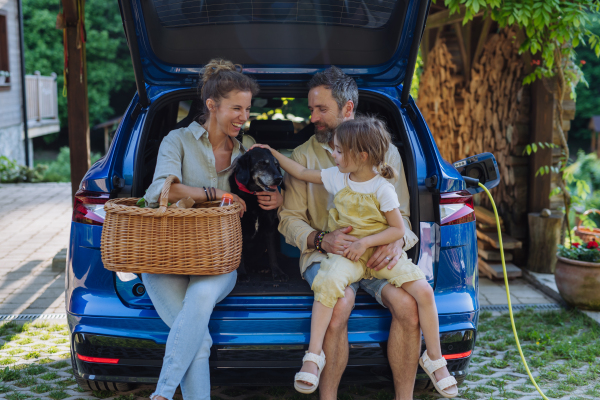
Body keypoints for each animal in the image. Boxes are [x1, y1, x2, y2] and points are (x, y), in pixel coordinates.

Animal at [227, 147, 288, 282]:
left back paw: (259, 267)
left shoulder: (269, 228)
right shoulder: (240, 228)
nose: (280, 178)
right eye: (262, 163)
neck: (254, 194)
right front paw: (241, 274)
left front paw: (277, 272)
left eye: (276, 165)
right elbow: (240, 255)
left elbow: (272, 253)